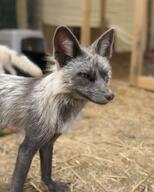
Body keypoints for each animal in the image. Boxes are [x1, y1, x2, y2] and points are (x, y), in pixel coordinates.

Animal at [0, 25, 114, 192]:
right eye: (85, 76)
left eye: (106, 76)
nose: (110, 96)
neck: (59, 110)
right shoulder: (27, 146)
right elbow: (17, 182)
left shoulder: (48, 142)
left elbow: (46, 171)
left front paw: (52, 186)